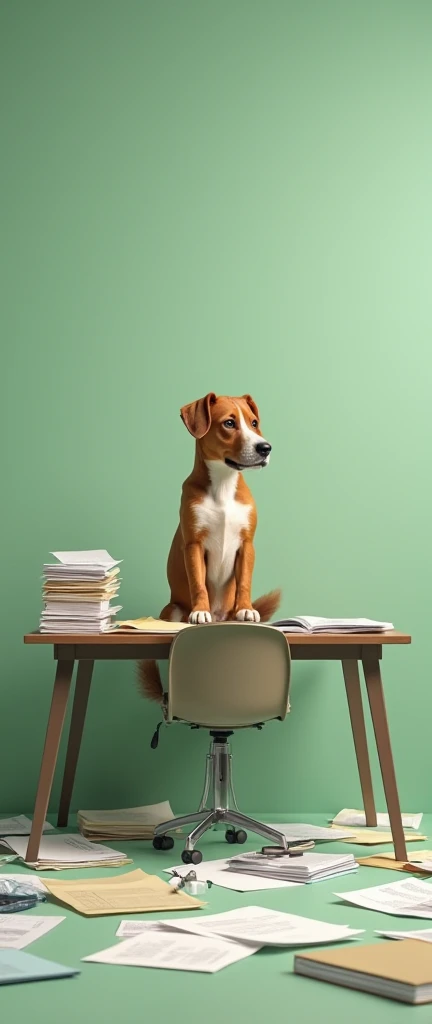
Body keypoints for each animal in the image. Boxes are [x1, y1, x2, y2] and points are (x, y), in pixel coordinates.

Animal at [138, 387, 280, 700]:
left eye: (254, 423)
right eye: (229, 423)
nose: (265, 448)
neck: (224, 486)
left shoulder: (247, 544)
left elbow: (245, 581)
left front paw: (246, 609)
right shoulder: (193, 545)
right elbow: (199, 582)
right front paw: (199, 610)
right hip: (172, 608)